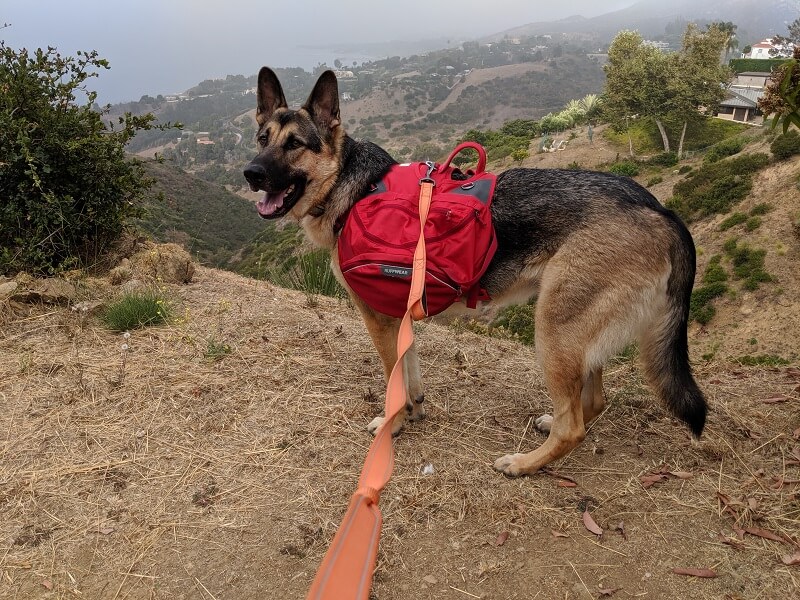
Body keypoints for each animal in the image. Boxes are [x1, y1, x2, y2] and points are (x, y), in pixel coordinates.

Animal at [244, 68, 708, 476]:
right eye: (262, 139)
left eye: (295, 144)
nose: (251, 173)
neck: (352, 187)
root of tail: (660, 209)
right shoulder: (399, 318)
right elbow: (409, 374)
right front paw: (413, 410)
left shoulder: (379, 320)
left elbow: (394, 378)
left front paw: (392, 425)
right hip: (579, 332)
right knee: (591, 403)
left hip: (555, 329)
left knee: (573, 425)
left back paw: (523, 464)